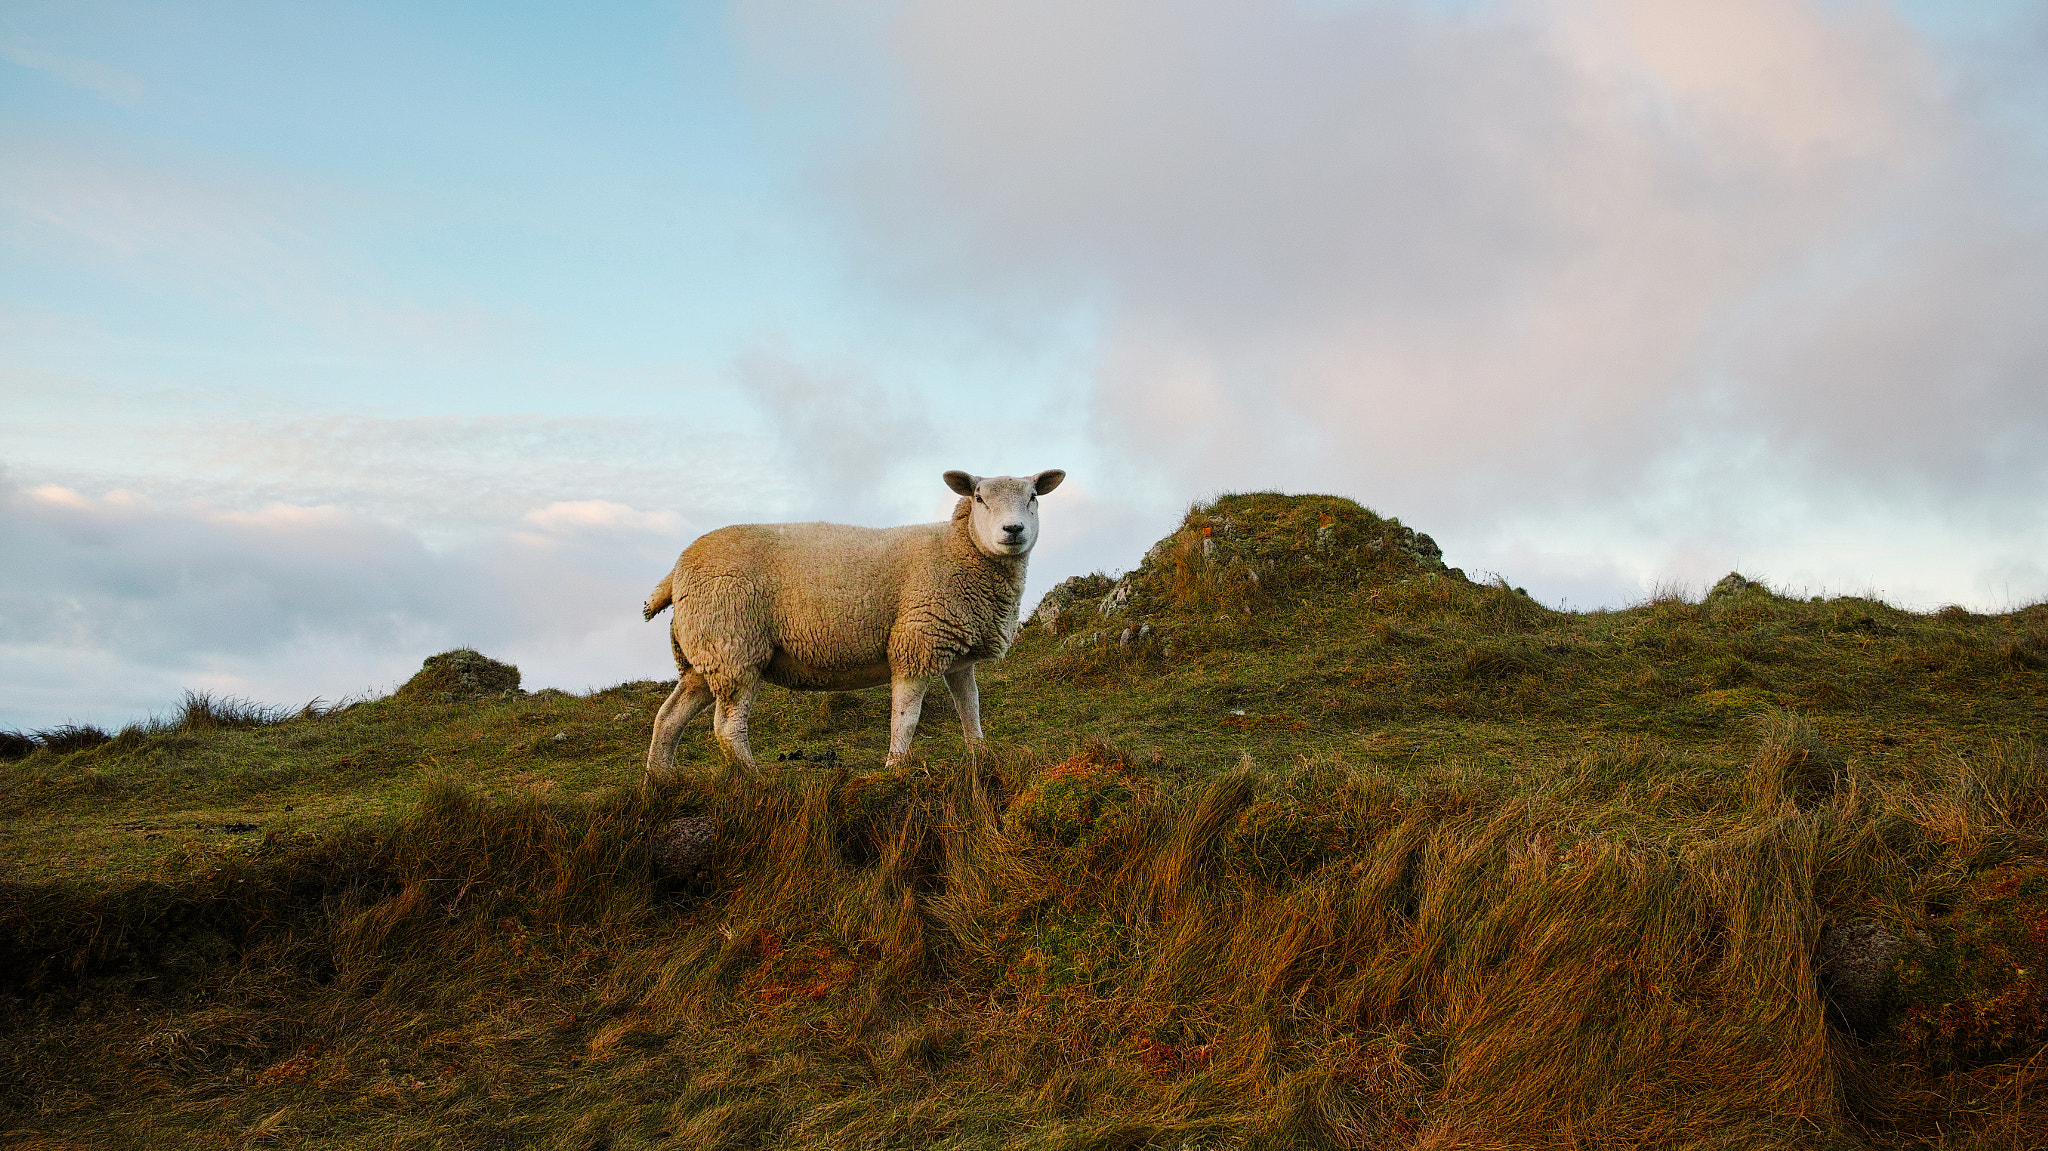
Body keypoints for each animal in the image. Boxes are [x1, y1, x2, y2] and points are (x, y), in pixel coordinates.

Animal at [643, 469, 1064, 778]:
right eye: (979, 498)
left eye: (1033, 497)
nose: (1013, 530)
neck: (958, 551)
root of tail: (677, 571)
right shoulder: (916, 641)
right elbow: (906, 717)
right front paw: (896, 766)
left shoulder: (957, 651)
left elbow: (970, 707)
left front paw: (981, 755)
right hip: (734, 645)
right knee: (727, 727)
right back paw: (754, 779)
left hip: (704, 654)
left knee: (669, 716)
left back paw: (661, 779)